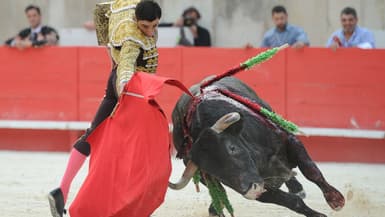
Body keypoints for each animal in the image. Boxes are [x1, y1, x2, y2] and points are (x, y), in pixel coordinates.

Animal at [170, 77, 344, 216]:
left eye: (232, 148)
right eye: (213, 172)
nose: (251, 189)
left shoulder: (290, 140)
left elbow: (311, 171)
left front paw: (336, 200)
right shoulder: (261, 186)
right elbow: (289, 201)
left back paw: (298, 188)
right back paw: (214, 209)